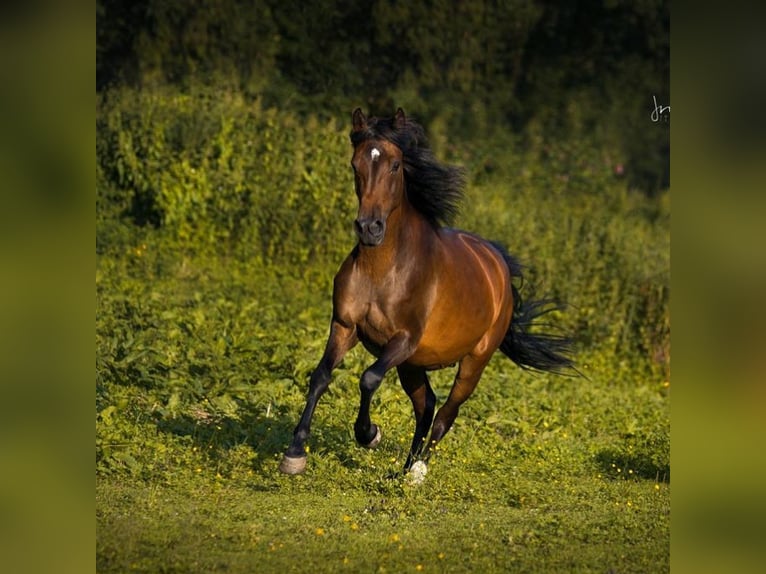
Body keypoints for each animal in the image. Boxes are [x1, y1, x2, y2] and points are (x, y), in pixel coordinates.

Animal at [279, 108, 573, 478]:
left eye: (394, 165)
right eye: (355, 164)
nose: (370, 228)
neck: (383, 270)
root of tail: (498, 264)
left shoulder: (404, 339)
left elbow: (369, 378)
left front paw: (369, 434)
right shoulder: (345, 327)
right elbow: (321, 376)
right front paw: (294, 454)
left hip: (473, 361)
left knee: (447, 412)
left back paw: (417, 471)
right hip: (412, 364)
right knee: (427, 405)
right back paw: (404, 469)